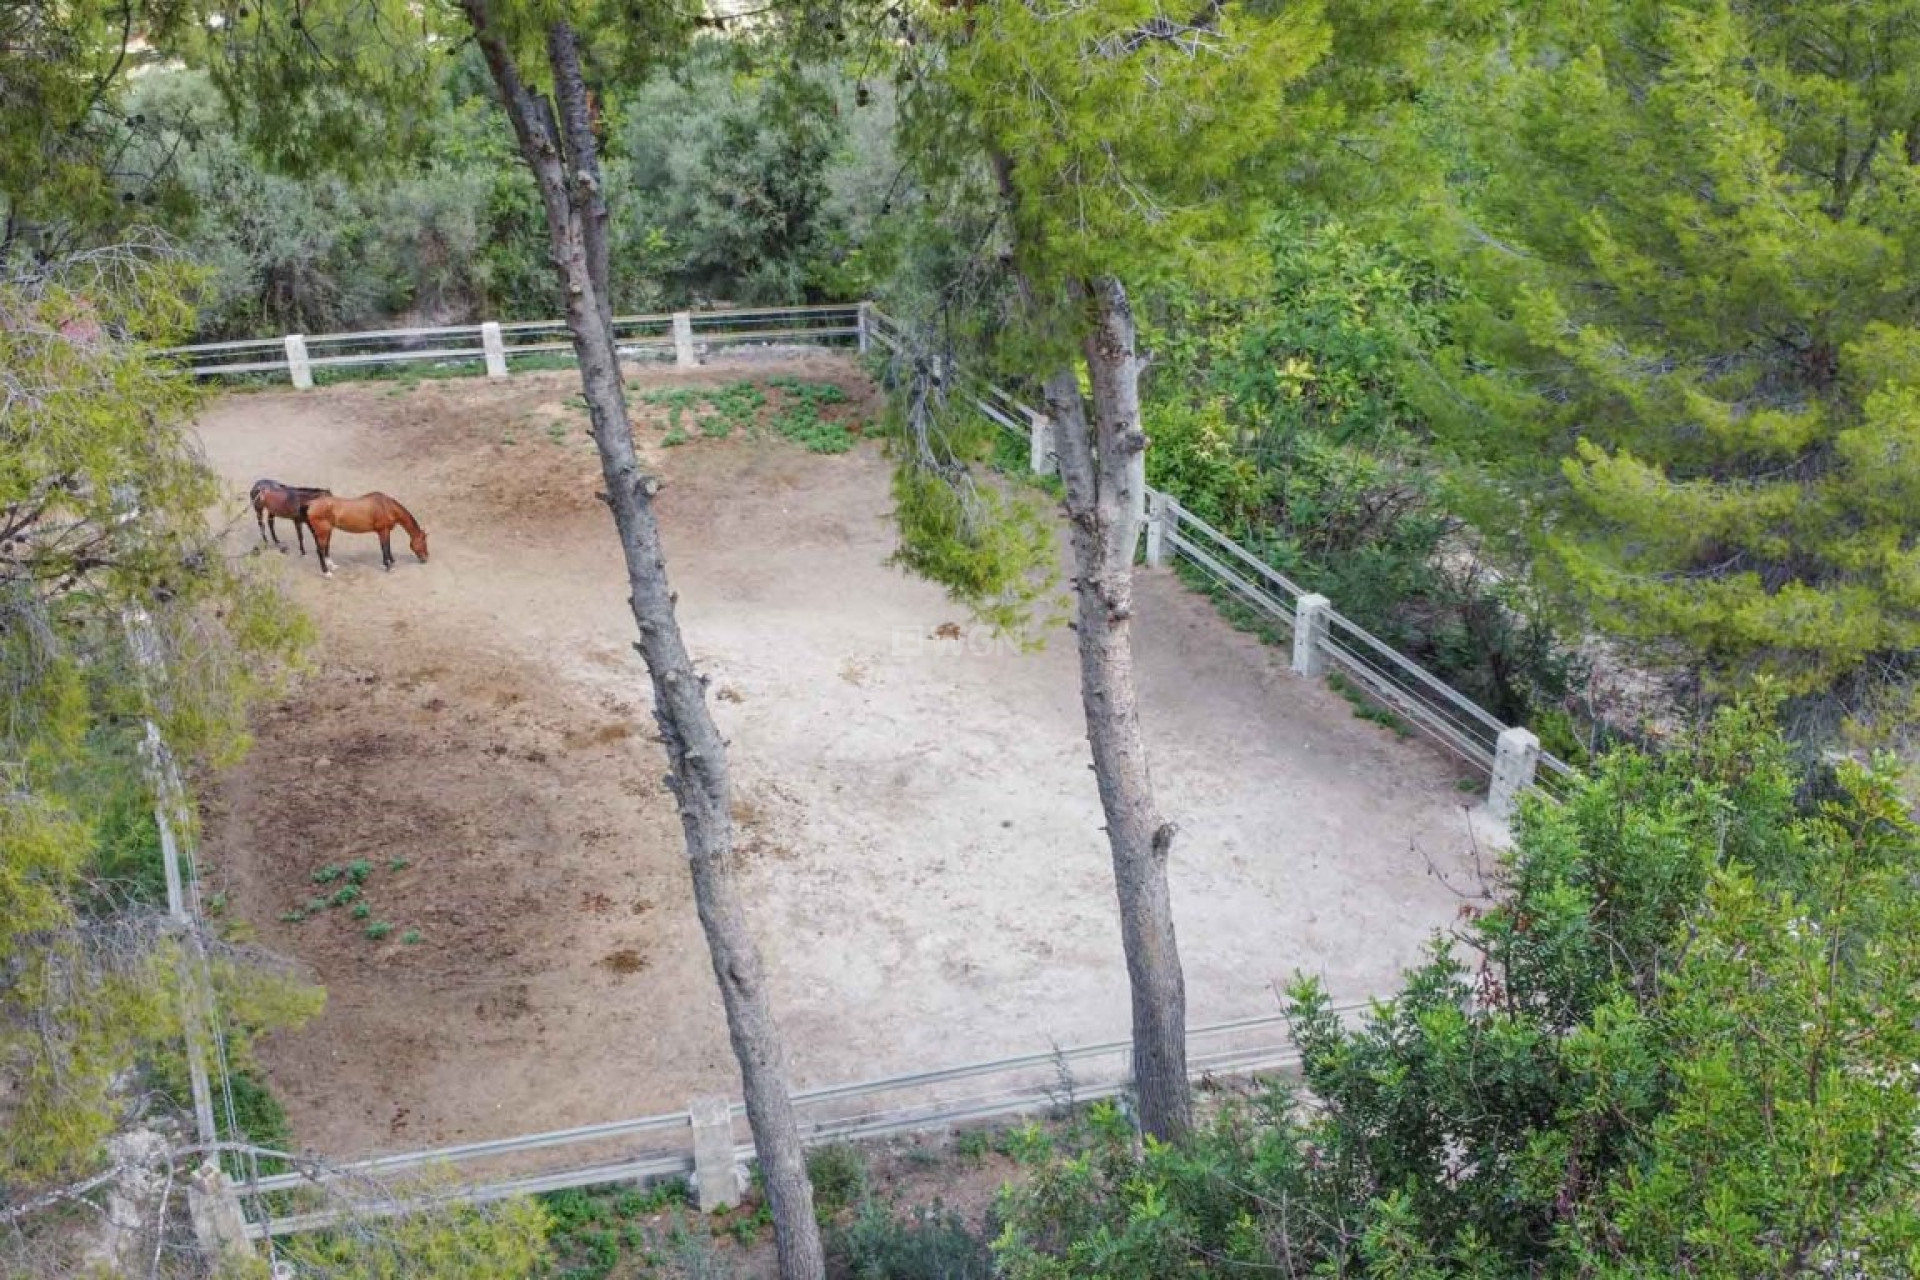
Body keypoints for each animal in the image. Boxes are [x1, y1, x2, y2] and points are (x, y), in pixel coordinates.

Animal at [299, 491, 428, 575]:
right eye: (424, 542)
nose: (425, 559)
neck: (386, 506)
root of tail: (311, 503)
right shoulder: (383, 531)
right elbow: (385, 548)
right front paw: (388, 566)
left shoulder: (384, 532)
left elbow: (387, 547)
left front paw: (391, 561)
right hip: (323, 532)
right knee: (320, 551)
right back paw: (326, 572)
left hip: (324, 532)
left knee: (325, 547)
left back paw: (332, 566)